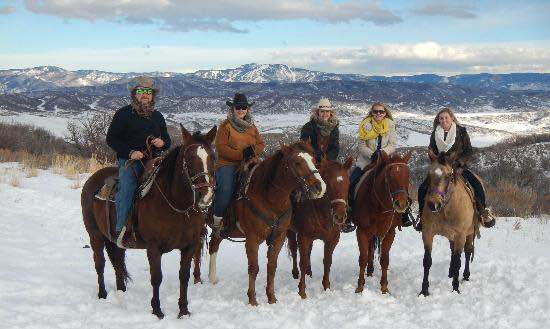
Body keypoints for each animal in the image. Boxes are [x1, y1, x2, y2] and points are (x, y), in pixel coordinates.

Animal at [81, 124, 218, 316]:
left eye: (213, 157)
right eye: (189, 159)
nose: (206, 196)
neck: (176, 205)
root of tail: (93, 179)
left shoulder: (189, 245)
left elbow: (184, 276)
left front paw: (183, 311)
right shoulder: (154, 247)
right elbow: (156, 278)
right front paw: (157, 310)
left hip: (116, 240)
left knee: (118, 263)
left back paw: (121, 292)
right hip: (95, 235)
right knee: (100, 263)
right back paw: (102, 294)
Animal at [203, 139, 326, 304]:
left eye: (313, 160)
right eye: (297, 162)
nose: (319, 187)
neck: (269, 198)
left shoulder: (278, 237)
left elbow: (271, 266)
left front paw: (271, 298)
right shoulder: (252, 239)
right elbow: (253, 268)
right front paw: (252, 300)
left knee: (214, 245)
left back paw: (212, 278)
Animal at [286, 156, 356, 298]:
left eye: (347, 183)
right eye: (329, 184)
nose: (339, 216)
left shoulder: (332, 240)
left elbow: (327, 261)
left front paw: (326, 287)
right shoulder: (303, 237)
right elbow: (302, 261)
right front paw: (302, 291)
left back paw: (309, 272)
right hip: (290, 231)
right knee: (294, 250)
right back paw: (296, 273)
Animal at [356, 151, 412, 292]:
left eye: (407, 176)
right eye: (390, 177)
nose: (401, 204)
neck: (378, 206)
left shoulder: (390, 233)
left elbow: (385, 259)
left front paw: (384, 286)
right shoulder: (361, 232)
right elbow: (362, 258)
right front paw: (360, 286)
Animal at [420, 150, 476, 296]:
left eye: (448, 175)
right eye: (429, 174)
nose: (433, 204)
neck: (445, 209)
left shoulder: (461, 236)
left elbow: (458, 261)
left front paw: (455, 288)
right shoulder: (427, 233)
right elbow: (427, 261)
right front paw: (424, 290)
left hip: (469, 234)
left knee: (468, 252)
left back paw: (465, 275)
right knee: (452, 251)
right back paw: (450, 273)